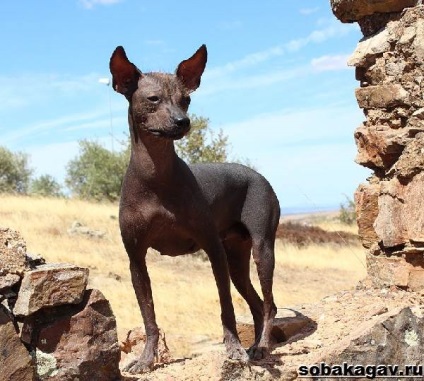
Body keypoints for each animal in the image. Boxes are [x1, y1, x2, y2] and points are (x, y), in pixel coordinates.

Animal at [111, 43, 280, 372]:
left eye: (186, 100)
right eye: (153, 99)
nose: (182, 121)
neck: (156, 177)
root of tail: (257, 175)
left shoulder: (213, 249)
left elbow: (226, 307)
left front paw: (233, 348)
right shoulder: (136, 259)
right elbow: (148, 317)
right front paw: (146, 359)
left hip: (261, 249)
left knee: (268, 304)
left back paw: (261, 347)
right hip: (237, 260)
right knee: (258, 304)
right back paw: (257, 345)